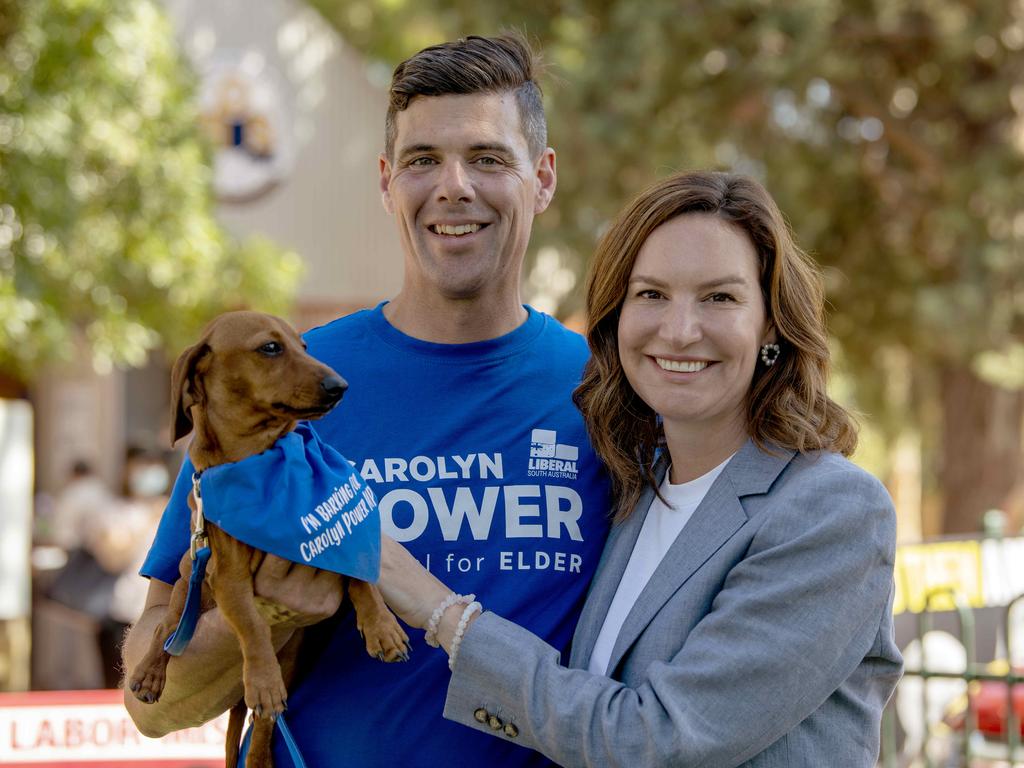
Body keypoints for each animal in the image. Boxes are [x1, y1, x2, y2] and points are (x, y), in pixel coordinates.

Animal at [129, 313, 411, 768]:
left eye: (304, 346)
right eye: (270, 348)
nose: (340, 386)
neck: (263, 461)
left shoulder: (342, 535)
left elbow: (362, 578)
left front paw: (382, 627)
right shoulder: (227, 578)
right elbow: (253, 626)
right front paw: (261, 678)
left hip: (292, 658)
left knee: (263, 723)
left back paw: (260, 757)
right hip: (189, 579)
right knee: (166, 632)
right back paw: (151, 673)